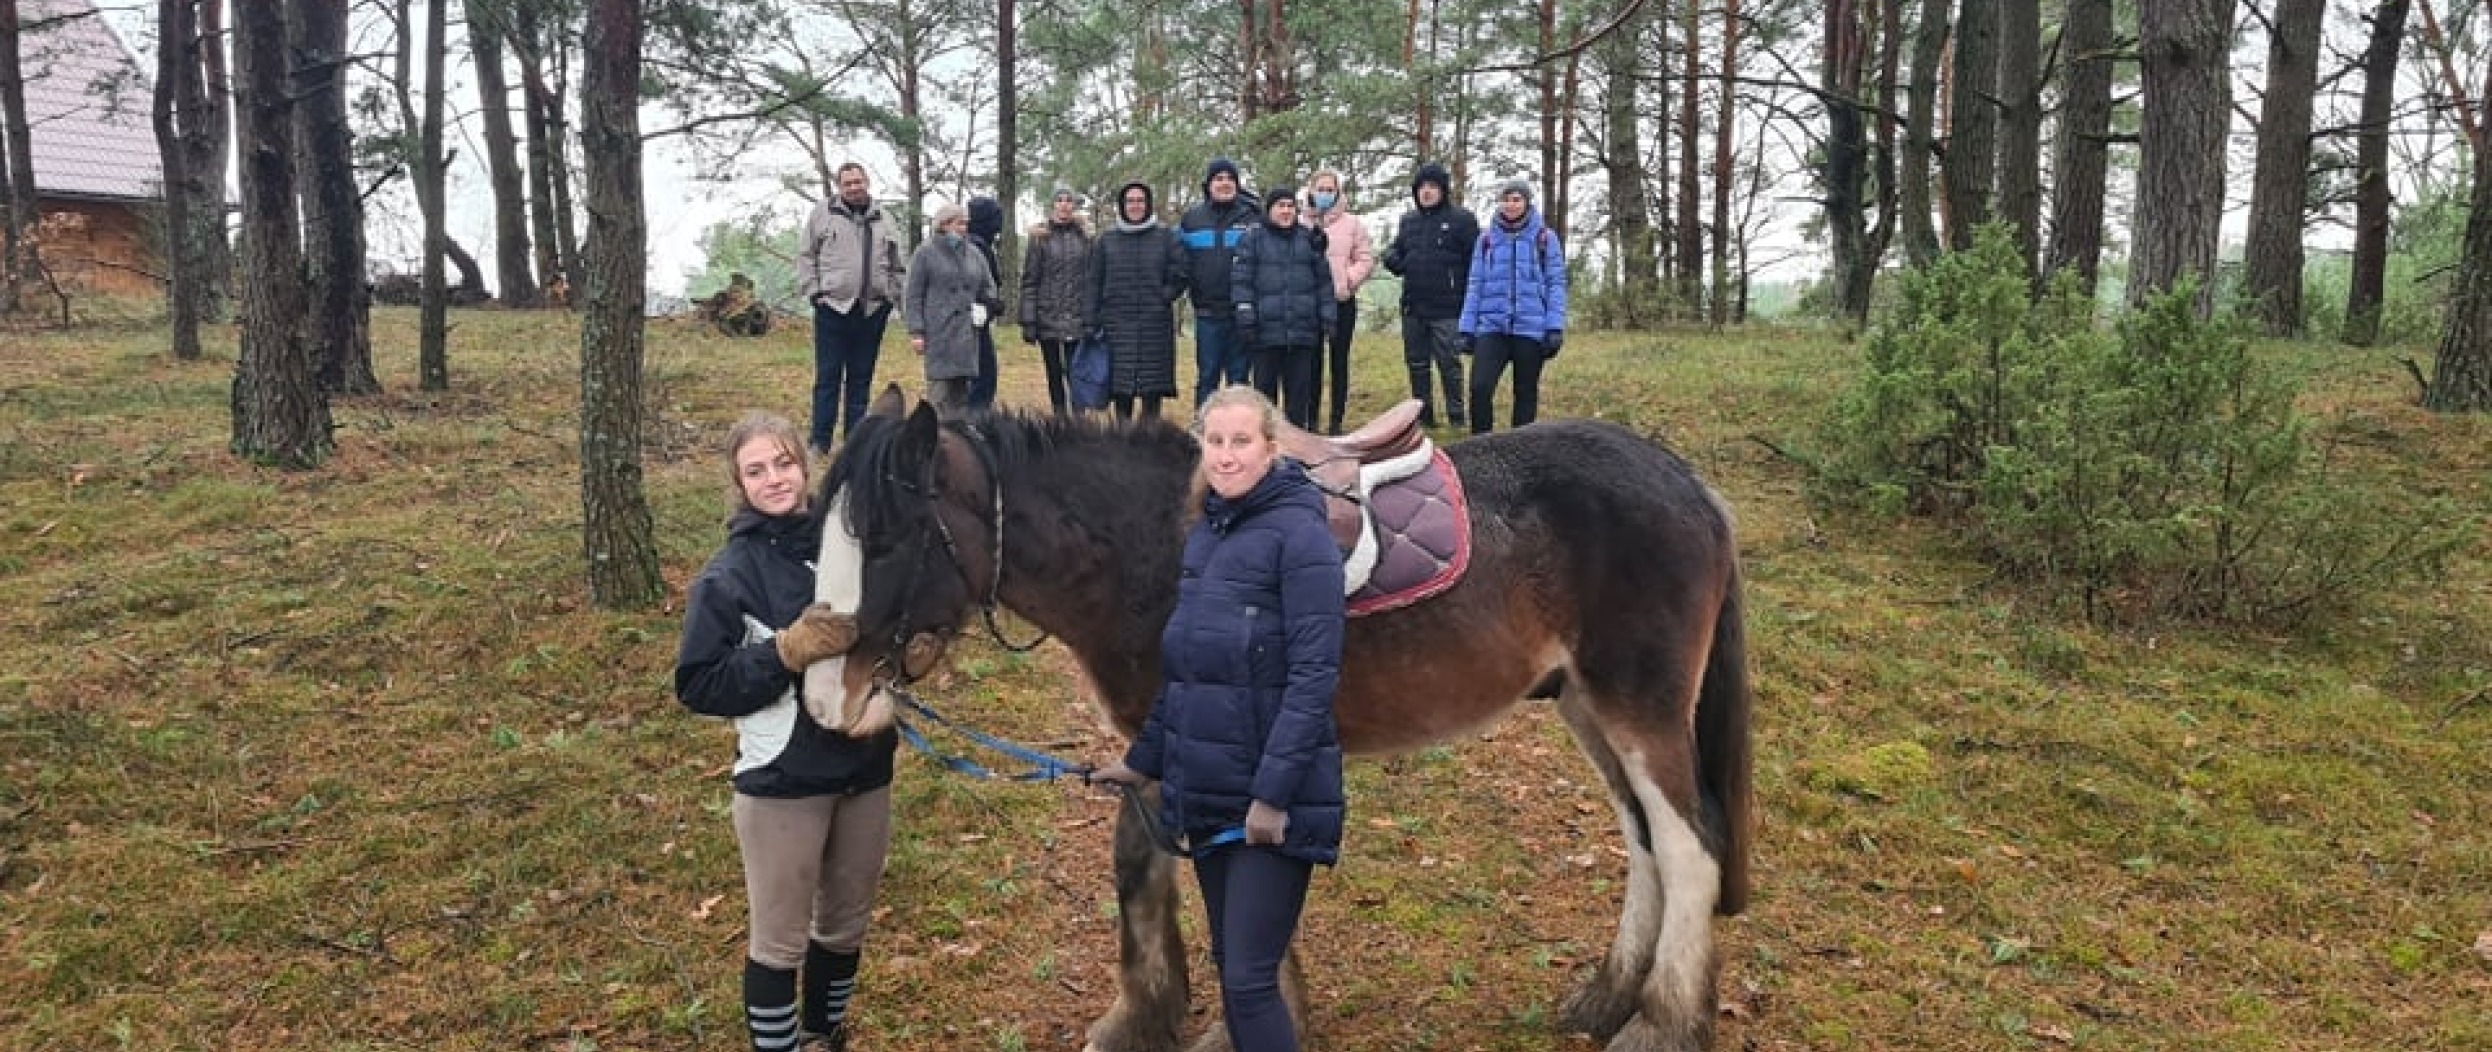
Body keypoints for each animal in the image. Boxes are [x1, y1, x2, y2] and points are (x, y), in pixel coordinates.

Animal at [812, 393, 1754, 1052]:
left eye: (888, 541)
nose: (824, 695)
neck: (1159, 543)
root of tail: (1687, 482)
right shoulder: (1158, 741)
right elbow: (1139, 864)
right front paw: (1143, 1014)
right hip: (1589, 705)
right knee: (1644, 838)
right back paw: (1608, 997)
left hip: (1639, 705)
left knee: (1689, 844)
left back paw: (1662, 1023)